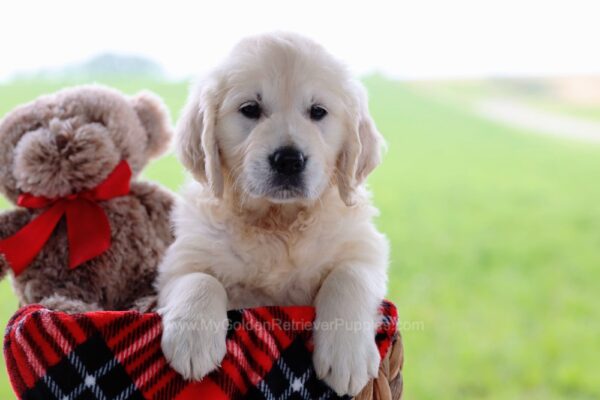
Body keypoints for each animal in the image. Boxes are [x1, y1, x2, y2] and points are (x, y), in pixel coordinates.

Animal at [157, 32, 386, 396]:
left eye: (318, 111)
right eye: (250, 109)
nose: (289, 160)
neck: (279, 222)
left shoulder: (366, 249)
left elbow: (348, 276)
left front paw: (347, 356)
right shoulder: (177, 262)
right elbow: (199, 278)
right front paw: (192, 340)